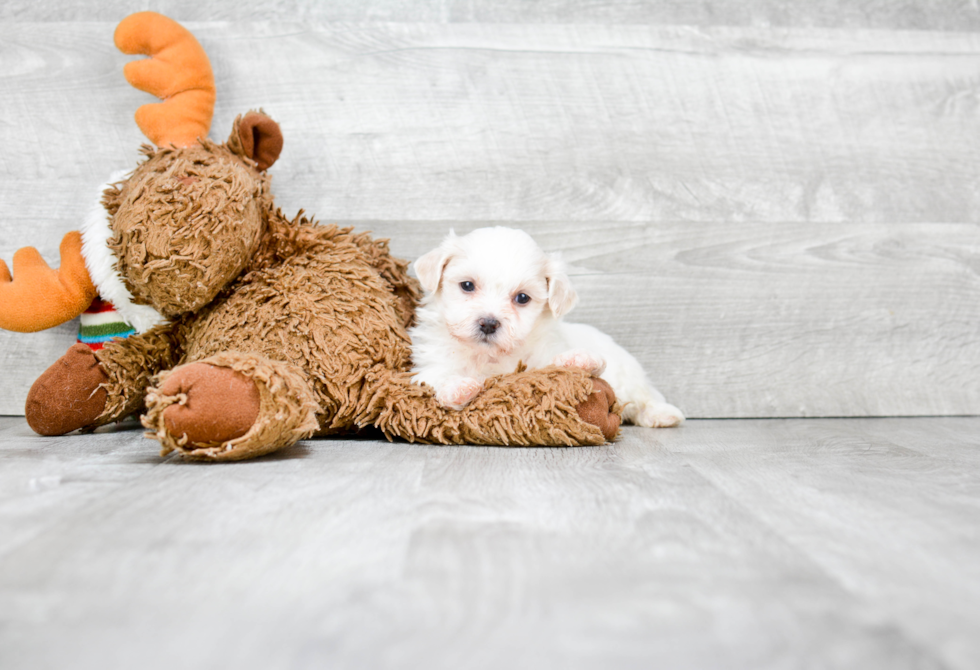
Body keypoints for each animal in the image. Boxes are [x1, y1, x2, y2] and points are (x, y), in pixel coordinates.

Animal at [410, 228, 684, 428]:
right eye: (467, 285)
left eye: (522, 298)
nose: (488, 323)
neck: (492, 356)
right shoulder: (432, 364)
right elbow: (436, 377)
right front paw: (457, 388)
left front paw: (581, 360)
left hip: (629, 377)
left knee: (643, 399)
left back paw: (663, 414)